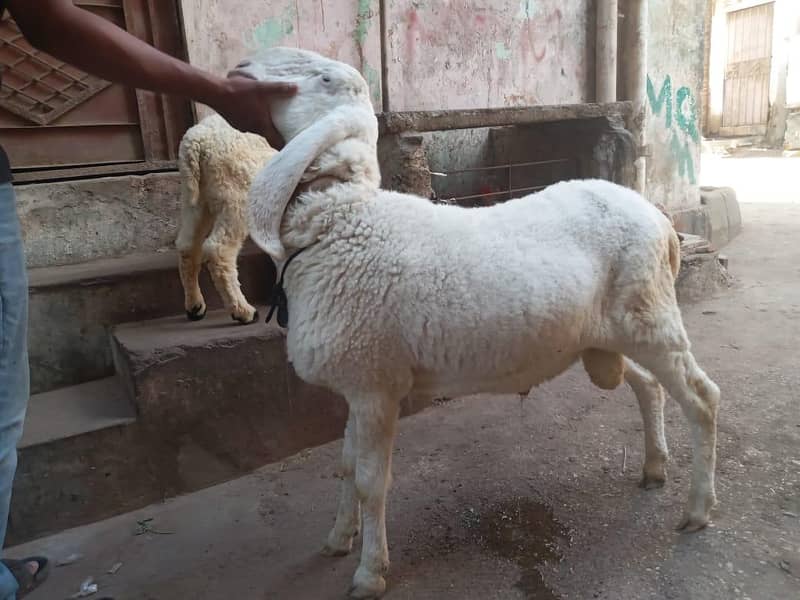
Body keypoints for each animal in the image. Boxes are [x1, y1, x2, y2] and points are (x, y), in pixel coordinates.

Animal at [175, 113, 277, 324]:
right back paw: (244, 311)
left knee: (187, 247)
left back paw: (195, 307)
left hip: (195, 201)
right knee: (219, 250)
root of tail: (196, 141)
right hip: (236, 197)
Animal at [235, 47, 720, 599]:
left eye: (323, 79)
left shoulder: (377, 386)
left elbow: (370, 482)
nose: (241, 70)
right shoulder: (359, 383)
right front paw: (339, 537)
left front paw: (370, 571)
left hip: (651, 316)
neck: (342, 220)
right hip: (608, 335)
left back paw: (698, 509)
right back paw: (655, 467)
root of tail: (660, 220)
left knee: (701, 398)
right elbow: (344, 468)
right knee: (649, 387)